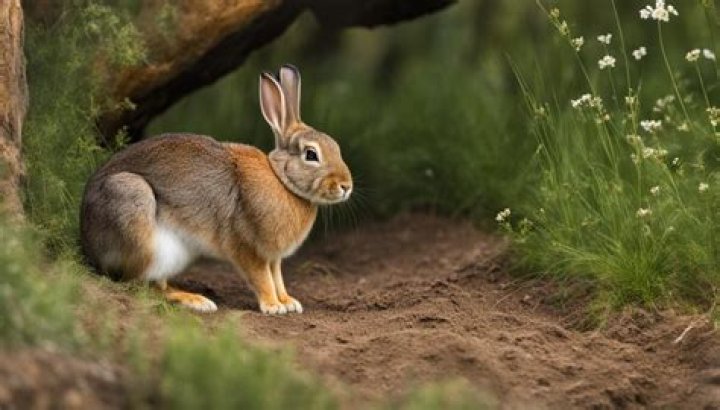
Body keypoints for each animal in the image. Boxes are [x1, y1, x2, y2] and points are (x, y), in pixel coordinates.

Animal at [80, 65, 352, 314]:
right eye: (311, 155)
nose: (346, 186)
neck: (282, 180)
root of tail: (88, 244)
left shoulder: (273, 257)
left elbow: (277, 277)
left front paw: (288, 302)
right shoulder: (246, 247)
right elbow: (262, 278)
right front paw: (273, 306)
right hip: (136, 212)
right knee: (140, 285)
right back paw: (194, 300)